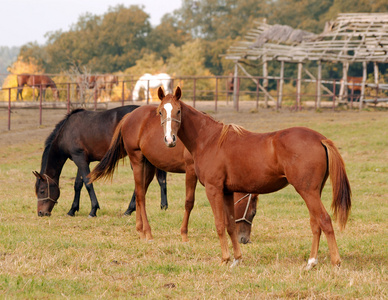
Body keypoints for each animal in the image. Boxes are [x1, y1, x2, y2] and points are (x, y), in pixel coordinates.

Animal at [33, 105, 167, 218]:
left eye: (42, 191)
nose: (41, 213)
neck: (66, 132)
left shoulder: (79, 158)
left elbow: (88, 183)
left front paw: (93, 210)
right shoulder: (82, 159)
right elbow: (78, 184)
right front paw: (72, 210)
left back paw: (130, 209)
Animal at [89, 105, 260, 244]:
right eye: (253, 212)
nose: (245, 239)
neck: (206, 138)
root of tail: (129, 116)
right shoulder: (191, 171)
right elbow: (189, 202)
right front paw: (184, 234)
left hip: (148, 166)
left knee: (139, 193)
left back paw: (140, 230)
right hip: (137, 161)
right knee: (141, 196)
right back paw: (148, 233)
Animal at [157, 86, 352, 270]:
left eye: (178, 111)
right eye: (160, 111)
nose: (169, 140)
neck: (209, 140)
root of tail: (320, 139)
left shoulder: (214, 189)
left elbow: (219, 224)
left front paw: (225, 259)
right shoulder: (227, 192)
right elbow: (230, 225)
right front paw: (236, 259)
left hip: (307, 191)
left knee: (324, 220)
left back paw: (335, 262)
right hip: (313, 192)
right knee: (315, 223)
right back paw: (311, 262)